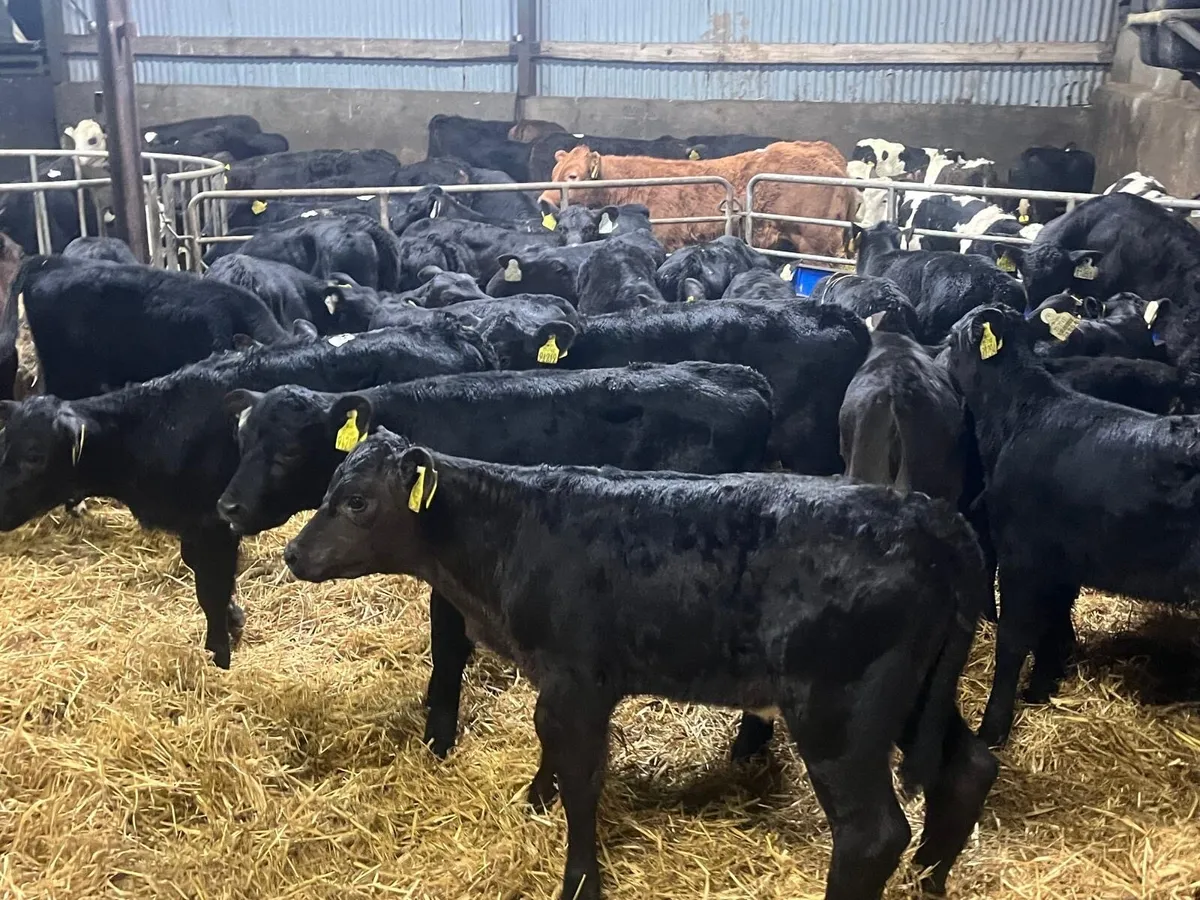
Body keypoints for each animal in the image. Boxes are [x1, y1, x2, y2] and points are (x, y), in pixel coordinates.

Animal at [0, 320, 497, 669]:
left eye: (33, 455)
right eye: (6, 443)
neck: (155, 427)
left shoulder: (213, 524)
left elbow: (210, 589)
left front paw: (219, 653)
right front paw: (234, 625)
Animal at [219, 361, 774, 756]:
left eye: (288, 452)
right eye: (241, 439)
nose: (228, 507)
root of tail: (746, 378)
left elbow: (447, 647)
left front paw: (438, 735)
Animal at [284, 434, 997, 900]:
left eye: (355, 501)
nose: (292, 553)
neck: (512, 533)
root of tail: (929, 515)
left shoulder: (577, 681)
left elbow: (583, 778)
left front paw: (579, 880)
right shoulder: (560, 682)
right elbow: (552, 754)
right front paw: (534, 801)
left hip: (838, 711)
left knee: (871, 833)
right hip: (911, 699)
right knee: (969, 767)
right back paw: (931, 879)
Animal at [947, 304, 1200, 747]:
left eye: (952, 337)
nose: (940, 350)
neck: (1017, 417)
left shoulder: (1022, 557)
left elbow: (1014, 639)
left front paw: (993, 727)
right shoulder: (1060, 559)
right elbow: (1054, 623)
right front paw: (1042, 687)